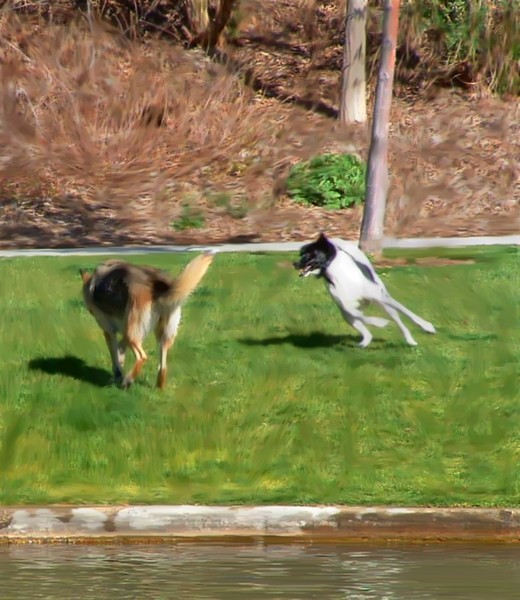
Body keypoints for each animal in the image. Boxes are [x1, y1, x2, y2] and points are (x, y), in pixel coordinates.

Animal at [78, 250, 215, 386]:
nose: (90, 311)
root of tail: (157, 285)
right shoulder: (125, 334)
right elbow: (120, 353)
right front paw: (118, 374)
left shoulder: (109, 332)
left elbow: (115, 356)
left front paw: (117, 375)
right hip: (162, 335)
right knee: (163, 367)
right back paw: (157, 386)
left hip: (131, 334)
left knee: (142, 357)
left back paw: (128, 381)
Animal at [294, 233, 436, 350]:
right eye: (300, 254)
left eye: (308, 254)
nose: (294, 264)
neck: (336, 272)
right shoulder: (347, 307)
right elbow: (365, 318)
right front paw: (380, 323)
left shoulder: (380, 297)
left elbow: (408, 312)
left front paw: (427, 326)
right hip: (347, 314)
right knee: (363, 327)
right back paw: (365, 342)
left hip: (384, 302)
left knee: (398, 320)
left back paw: (410, 340)